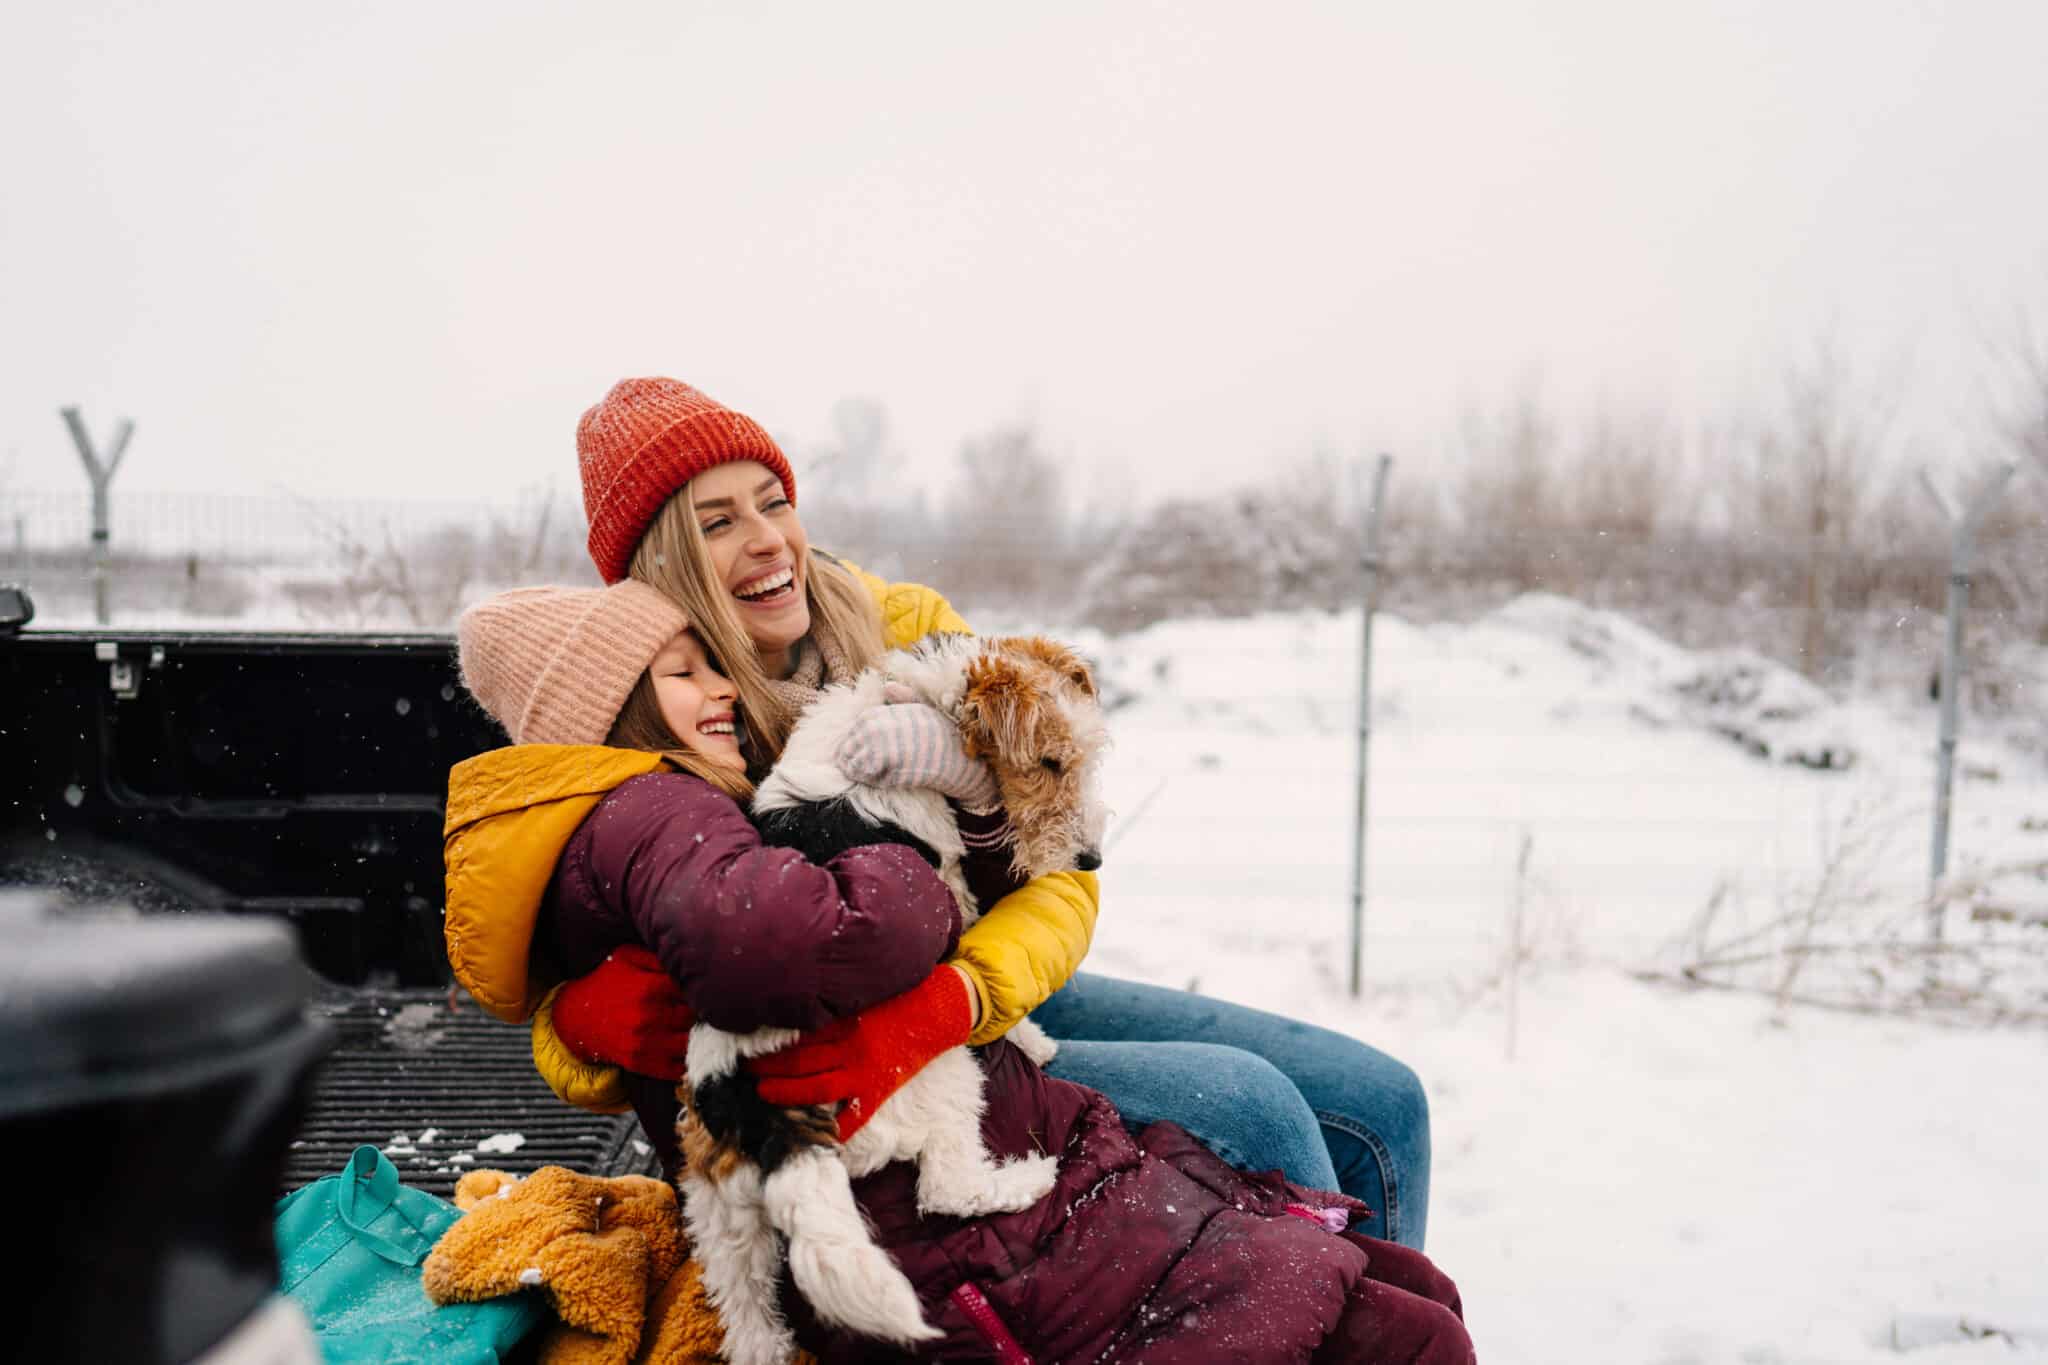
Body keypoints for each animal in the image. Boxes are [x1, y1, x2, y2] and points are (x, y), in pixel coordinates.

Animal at [676, 632, 1109, 1365]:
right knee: (948, 1188)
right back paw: (1028, 1176)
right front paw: (1031, 1038)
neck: (922, 703)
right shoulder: (948, 889)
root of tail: (764, 1115)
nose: (1091, 860)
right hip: (940, 1075)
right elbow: (968, 959)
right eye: (1049, 761)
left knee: (752, 1325)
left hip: (724, 1218)